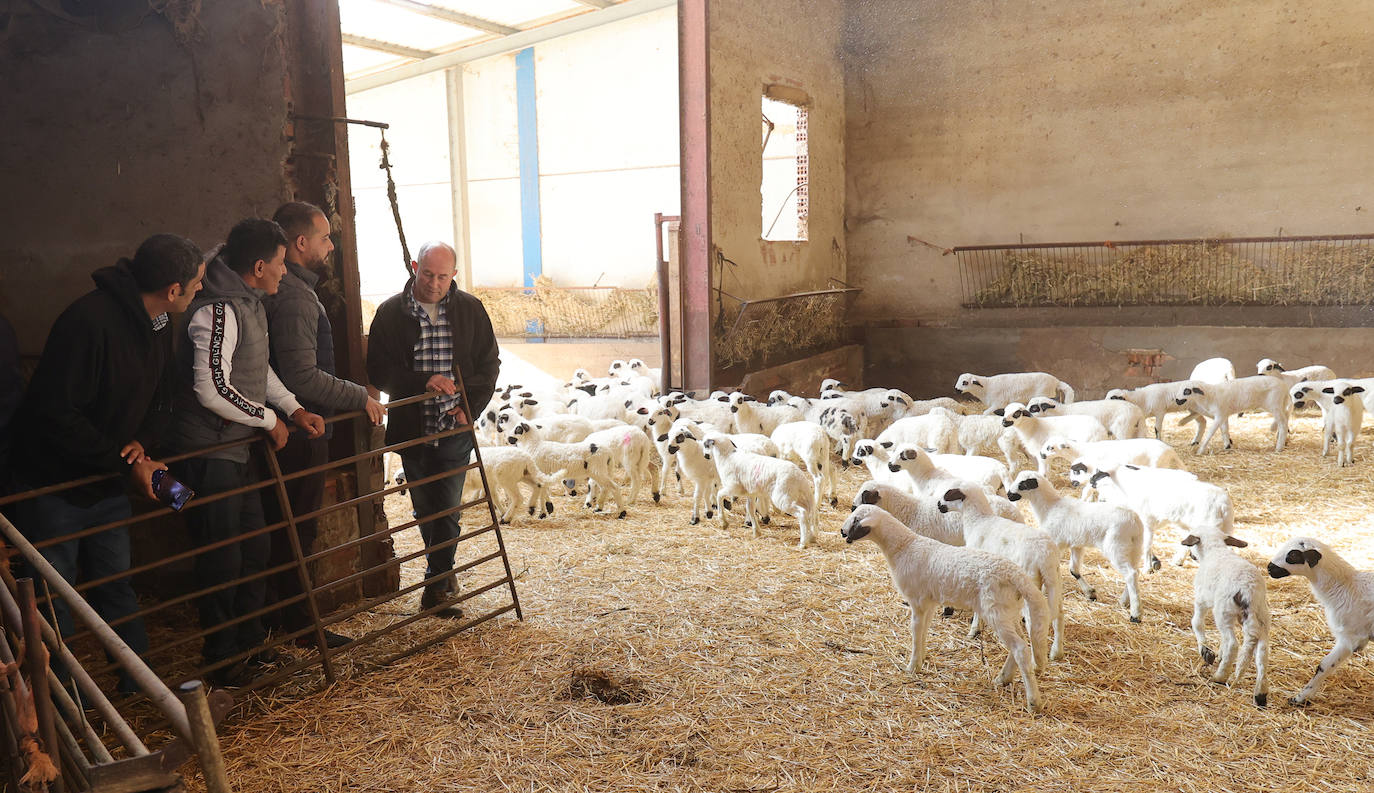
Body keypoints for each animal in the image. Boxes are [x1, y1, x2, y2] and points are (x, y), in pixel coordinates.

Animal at [835, 505, 1049, 709]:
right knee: (1022, 644)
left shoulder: (917, 601)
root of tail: (1017, 576)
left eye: (856, 519)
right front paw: (920, 662)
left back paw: (1033, 702)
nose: (842, 532)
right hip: (1009, 611)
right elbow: (923, 633)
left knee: (1020, 648)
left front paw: (911, 668)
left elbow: (915, 633)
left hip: (996, 612)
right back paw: (1003, 679)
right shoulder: (928, 604)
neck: (904, 546)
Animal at [1011, 467, 1148, 621]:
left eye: (1023, 484)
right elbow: (1073, 570)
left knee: (1130, 573)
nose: (1009, 494)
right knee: (1134, 572)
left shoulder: (1056, 543)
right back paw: (1124, 601)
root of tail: (1134, 521)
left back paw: (1135, 614)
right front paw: (1090, 593)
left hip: (1116, 546)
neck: (1049, 508)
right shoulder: (1076, 545)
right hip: (1135, 547)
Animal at [1176, 527, 1269, 709]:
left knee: (1233, 644)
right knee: (1262, 655)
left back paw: (1220, 676)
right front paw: (1218, 654)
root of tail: (1249, 591)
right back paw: (1260, 695)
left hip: (1223, 611)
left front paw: (1206, 651)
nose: (1191, 555)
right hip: (1262, 618)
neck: (1215, 550)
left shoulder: (1201, 599)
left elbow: (1197, 623)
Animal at [1264, 538, 1374, 703]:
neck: (1344, 587)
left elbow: (1323, 666)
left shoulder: (1351, 637)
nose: (1269, 568)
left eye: (1293, 554)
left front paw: (1300, 698)